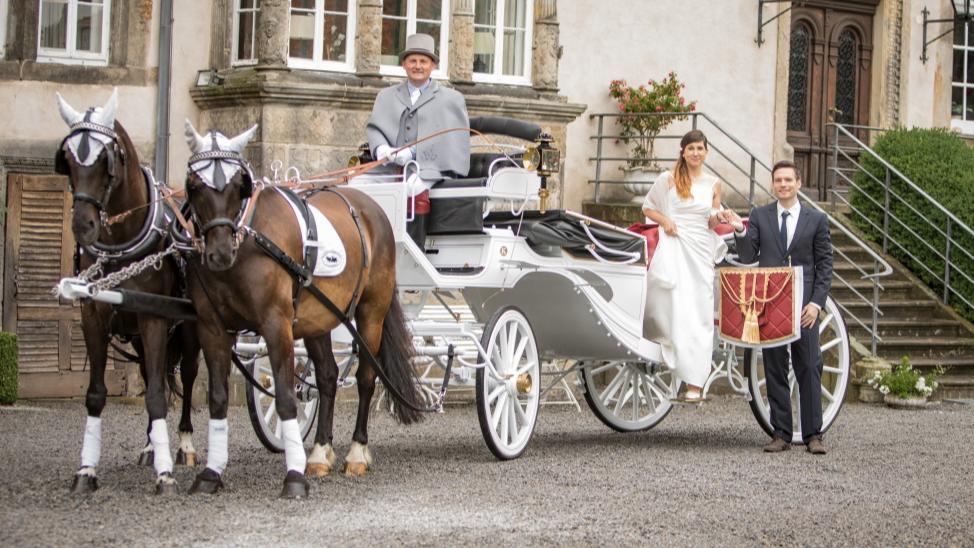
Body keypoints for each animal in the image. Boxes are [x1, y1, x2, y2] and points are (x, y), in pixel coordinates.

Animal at [56, 91, 200, 496]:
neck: (123, 242)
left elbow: (157, 395)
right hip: (137, 335)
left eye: (107, 159)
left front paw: (166, 475)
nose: (83, 225)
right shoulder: (94, 317)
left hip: (190, 331)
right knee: (155, 375)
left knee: (188, 378)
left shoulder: (155, 318)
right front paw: (86, 470)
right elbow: (97, 393)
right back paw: (152, 445)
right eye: (67, 158)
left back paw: (184, 444)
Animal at [182, 122, 424, 498]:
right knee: (326, 377)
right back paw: (320, 452)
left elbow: (285, 399)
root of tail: (371, 207)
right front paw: (211, 472)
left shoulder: (276, 325)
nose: (219, 252)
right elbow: (218, 398)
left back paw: (356, 452)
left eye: (239, 185)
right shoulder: (211, 327)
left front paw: (293, 477)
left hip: (372, 311)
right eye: (194, 185)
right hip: (319, 317)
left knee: (366, 378)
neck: (250, 240)